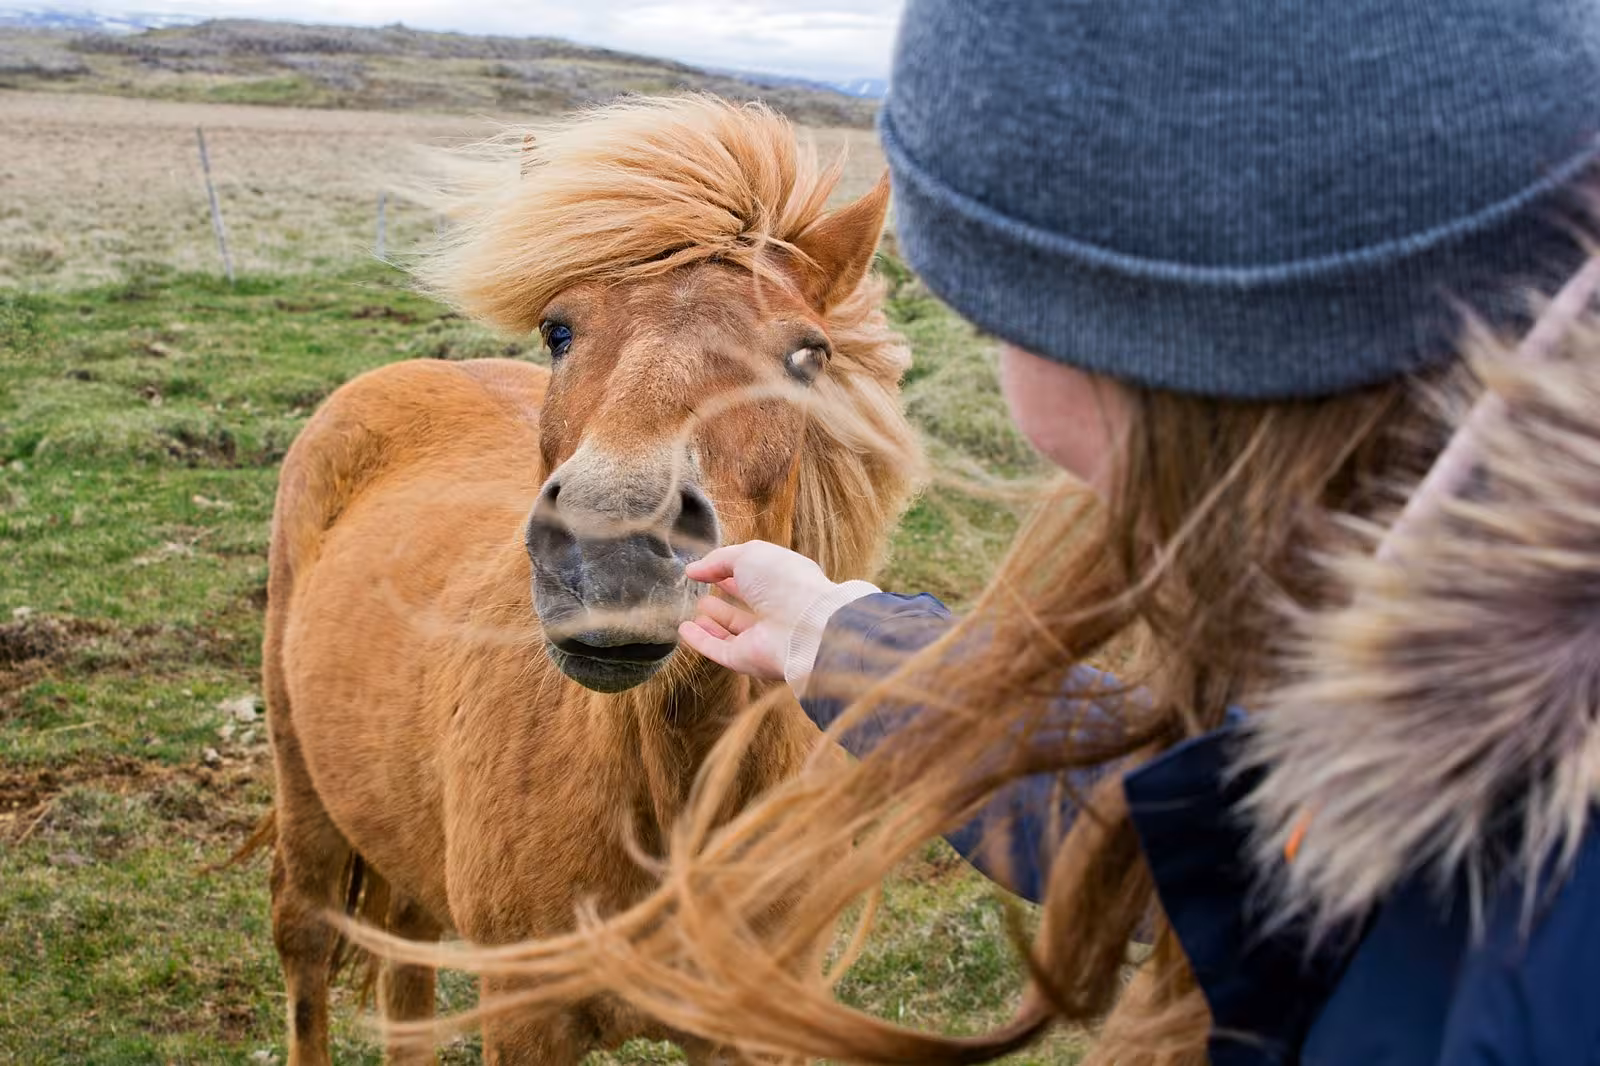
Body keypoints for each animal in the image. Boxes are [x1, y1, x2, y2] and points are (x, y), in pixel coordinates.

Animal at [260, 95, 921, 1064]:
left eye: (807, 355)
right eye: (558, 330)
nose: (610, 555)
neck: (673, 810)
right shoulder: (525, 1012)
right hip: (304, 787)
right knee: (306, 944)